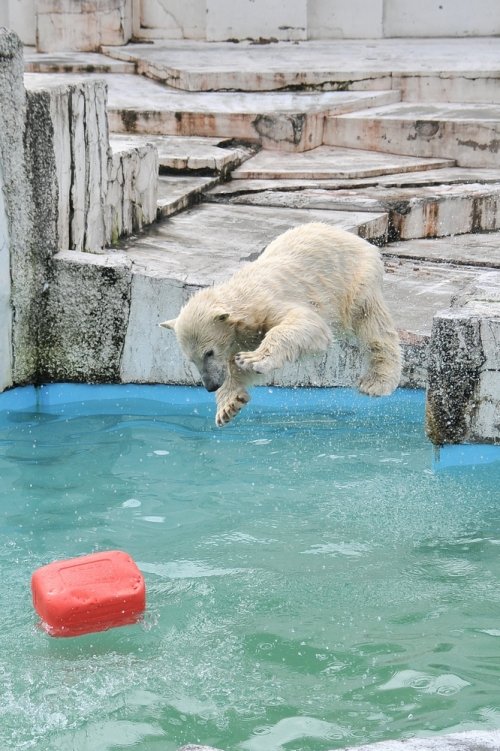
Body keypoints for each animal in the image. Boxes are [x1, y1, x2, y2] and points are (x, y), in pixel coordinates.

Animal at [160, 220, 402, 426]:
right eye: (191, 359)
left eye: (208, 352)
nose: (210, 386)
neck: (242, 298)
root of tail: (355, 237)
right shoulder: (241, 334)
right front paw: (228, 406)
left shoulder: (266, 304)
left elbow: (307, 324)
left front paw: (251, 360)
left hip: (354, 280)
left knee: (372, 325)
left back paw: (375, 382)